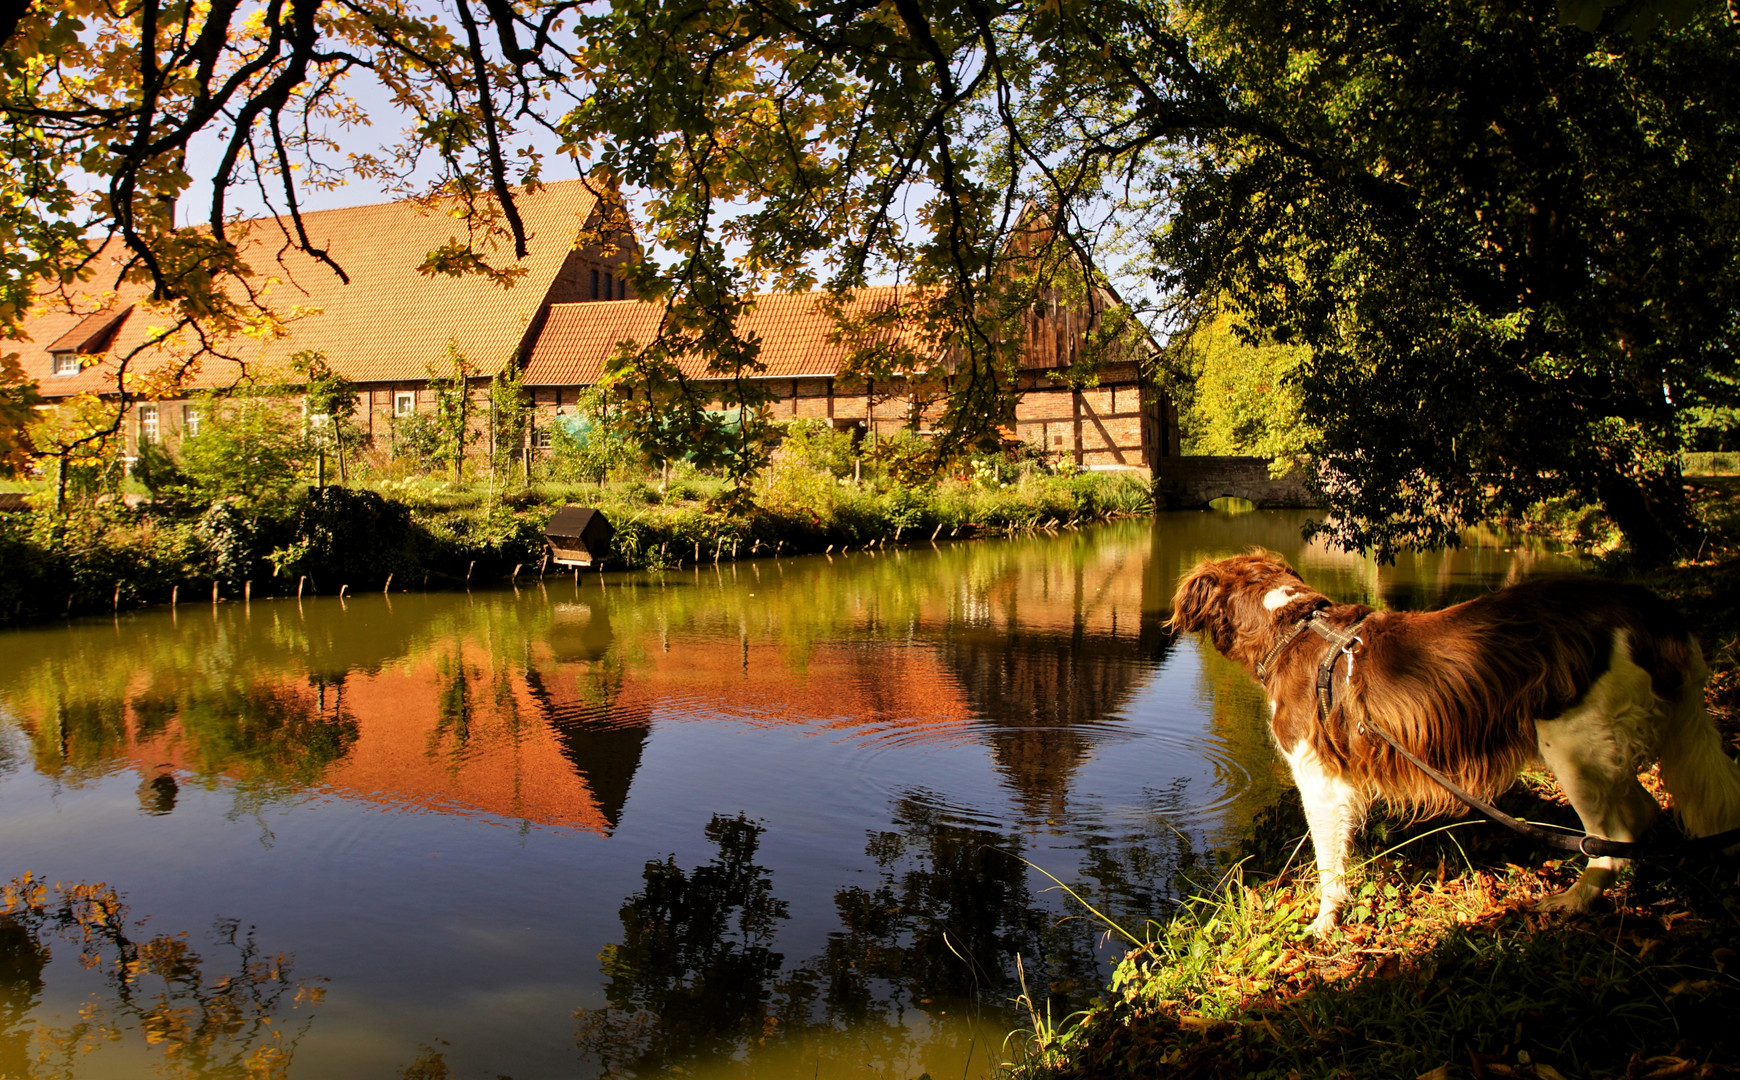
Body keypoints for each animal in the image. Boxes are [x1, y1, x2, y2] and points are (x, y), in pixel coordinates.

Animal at [1169, 553, 1740, 932]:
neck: (1293, 627)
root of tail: (1656, 614)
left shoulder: (1319, 778)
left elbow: (1329, 862)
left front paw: (1324, 924)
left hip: (1575, 746)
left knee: (1613, 837)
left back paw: (1573, 901)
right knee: (1641, 816)